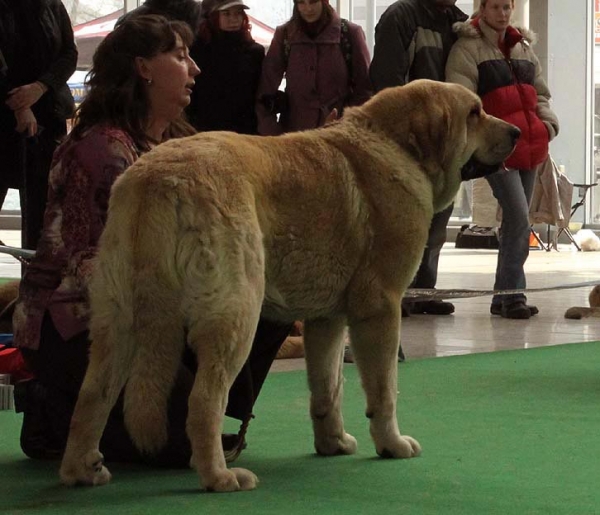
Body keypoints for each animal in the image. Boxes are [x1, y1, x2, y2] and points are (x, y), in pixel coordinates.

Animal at [61, 79, 520, 492]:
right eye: (475, 113)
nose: (517, 132)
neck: (397, 147)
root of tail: (160, 181)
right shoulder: (380, 306)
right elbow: (384, 388)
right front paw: (391, 444)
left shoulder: (327, 319)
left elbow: (328, 388)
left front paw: (332, 443)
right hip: (237, 313)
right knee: (204, 402)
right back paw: (220, 477)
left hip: (117, 320)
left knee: (92, 395)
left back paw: (83, 470)